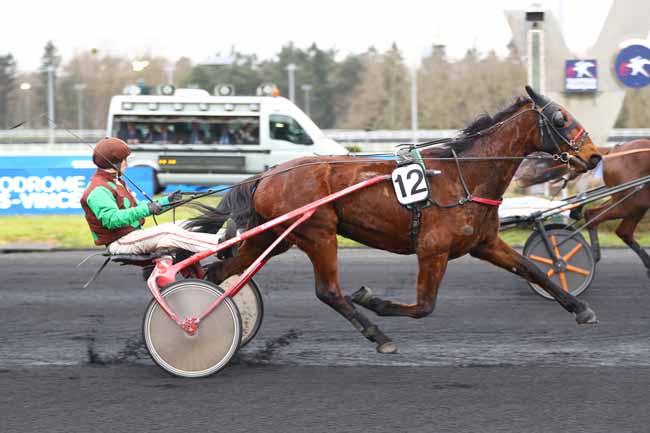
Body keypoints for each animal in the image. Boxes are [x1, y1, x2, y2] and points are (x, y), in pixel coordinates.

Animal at [185, 86, 600, 352]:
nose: (595, 156)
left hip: (273, 237)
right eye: (561, 119)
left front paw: (581, 309)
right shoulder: (432, 250)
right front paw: (373, 300)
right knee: (328, 291)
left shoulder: (485, 243)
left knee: (218, 273)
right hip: (319, 233)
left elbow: (534, 270)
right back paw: (378, 335)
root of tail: (267, 174)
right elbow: (424, 306)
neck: (464, 174)